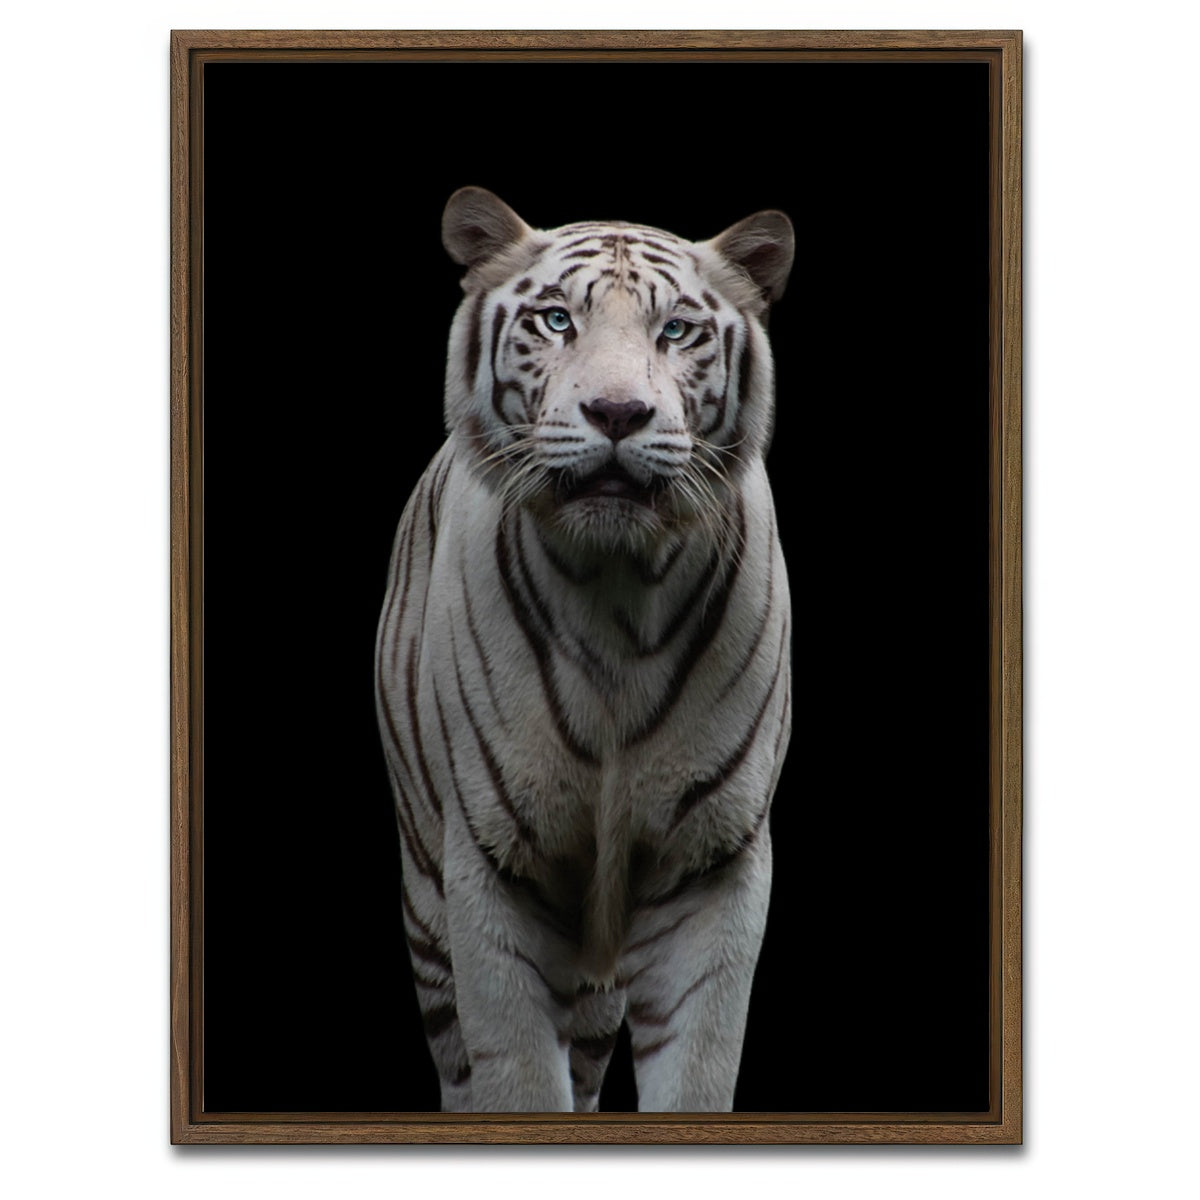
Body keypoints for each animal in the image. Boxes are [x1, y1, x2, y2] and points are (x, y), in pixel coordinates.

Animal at [374, 187, 793, 1113]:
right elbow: (518, 1076)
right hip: (426, 900)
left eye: (677, 329)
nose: (617, 413)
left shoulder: (715, 863)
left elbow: (698, 1073)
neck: (618, 597)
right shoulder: (491, 865)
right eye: (558, 320)